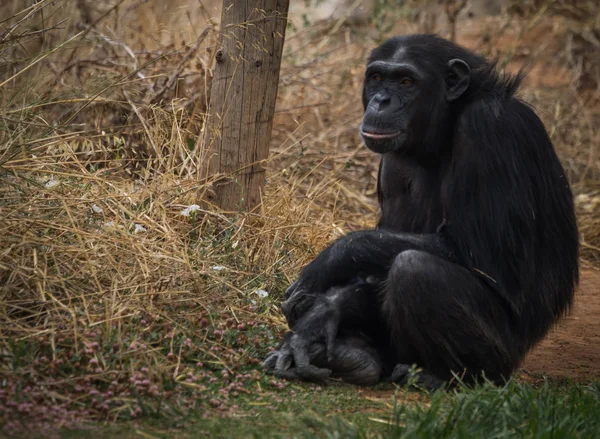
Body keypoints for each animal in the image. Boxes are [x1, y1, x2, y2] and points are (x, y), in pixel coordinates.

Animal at [264, 34, 580, 388]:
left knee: (415, 269)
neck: (446, 125)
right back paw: (354, 356)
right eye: (377, 78)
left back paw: (446, 377)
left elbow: (481, 250)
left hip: (504, 358)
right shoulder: (391, 163)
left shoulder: (491, 129)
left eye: (406, 81)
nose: (381, 101)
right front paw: (320, 317)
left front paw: (329, 263)